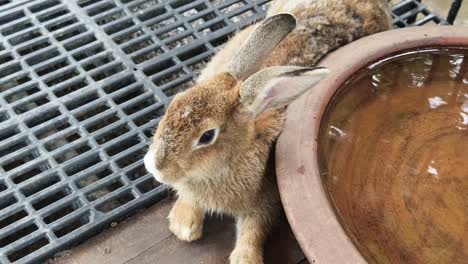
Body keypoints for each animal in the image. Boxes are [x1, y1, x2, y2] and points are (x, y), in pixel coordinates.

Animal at [144, 1, 394, 262]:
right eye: (174, 102)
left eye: (207, 136)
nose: (154, 167)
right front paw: (183, 225)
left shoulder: (266, 197)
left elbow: (255, 229)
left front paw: (244, 259)